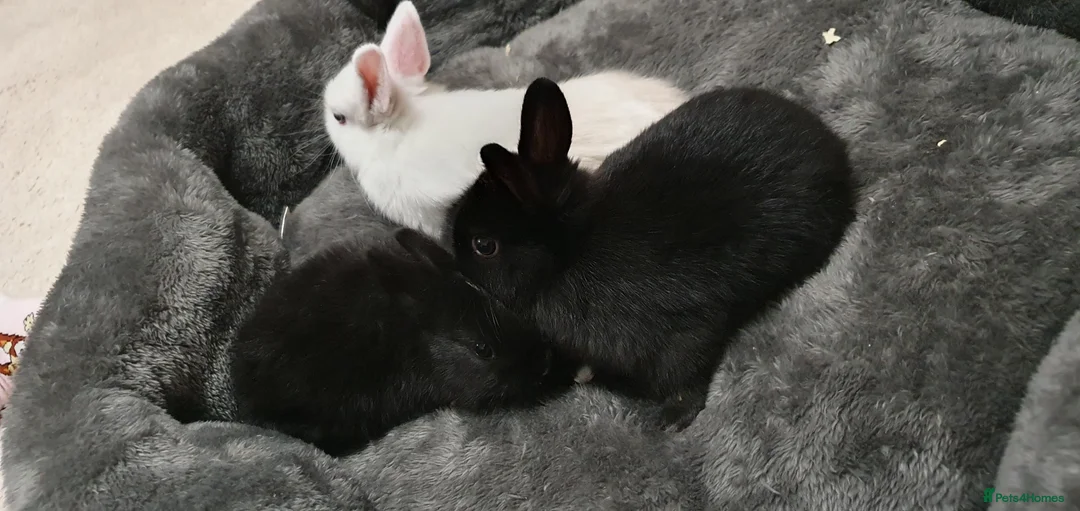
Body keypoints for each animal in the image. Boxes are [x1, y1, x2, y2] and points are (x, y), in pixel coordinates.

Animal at [448, 78, 859, 431]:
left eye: (483, 246)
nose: (453, 263)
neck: (570, 253)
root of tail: (832, 144)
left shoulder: (682, 330)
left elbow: (684, 370)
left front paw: (672, 420)